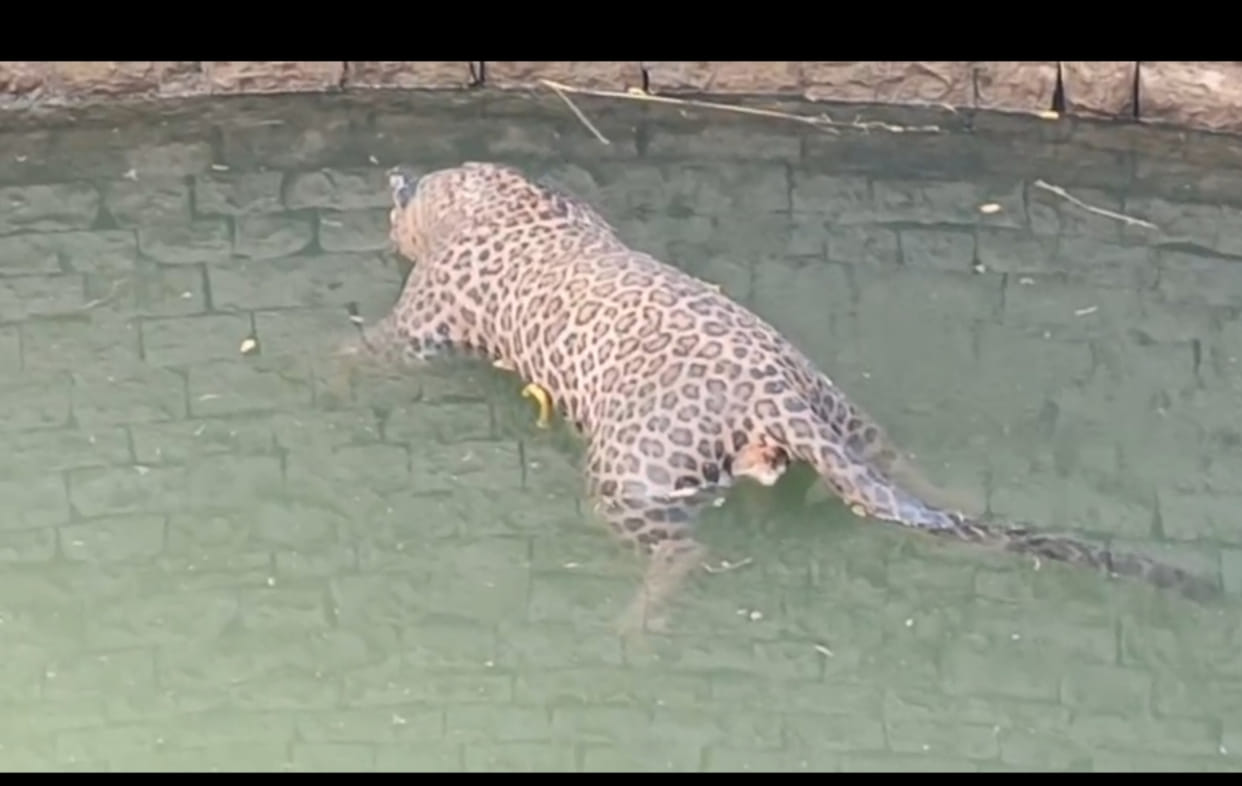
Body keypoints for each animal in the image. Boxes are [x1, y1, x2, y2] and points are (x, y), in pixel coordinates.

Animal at [342, 160, 1222, 633]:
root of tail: (776, 391)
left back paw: (634, 624)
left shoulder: (422, 325)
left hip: (629, 477)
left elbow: (365, 354)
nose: (385, 217)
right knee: (910, 470)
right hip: (851, 419)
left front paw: (327, 363)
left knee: (683, 552)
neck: (506, 198)